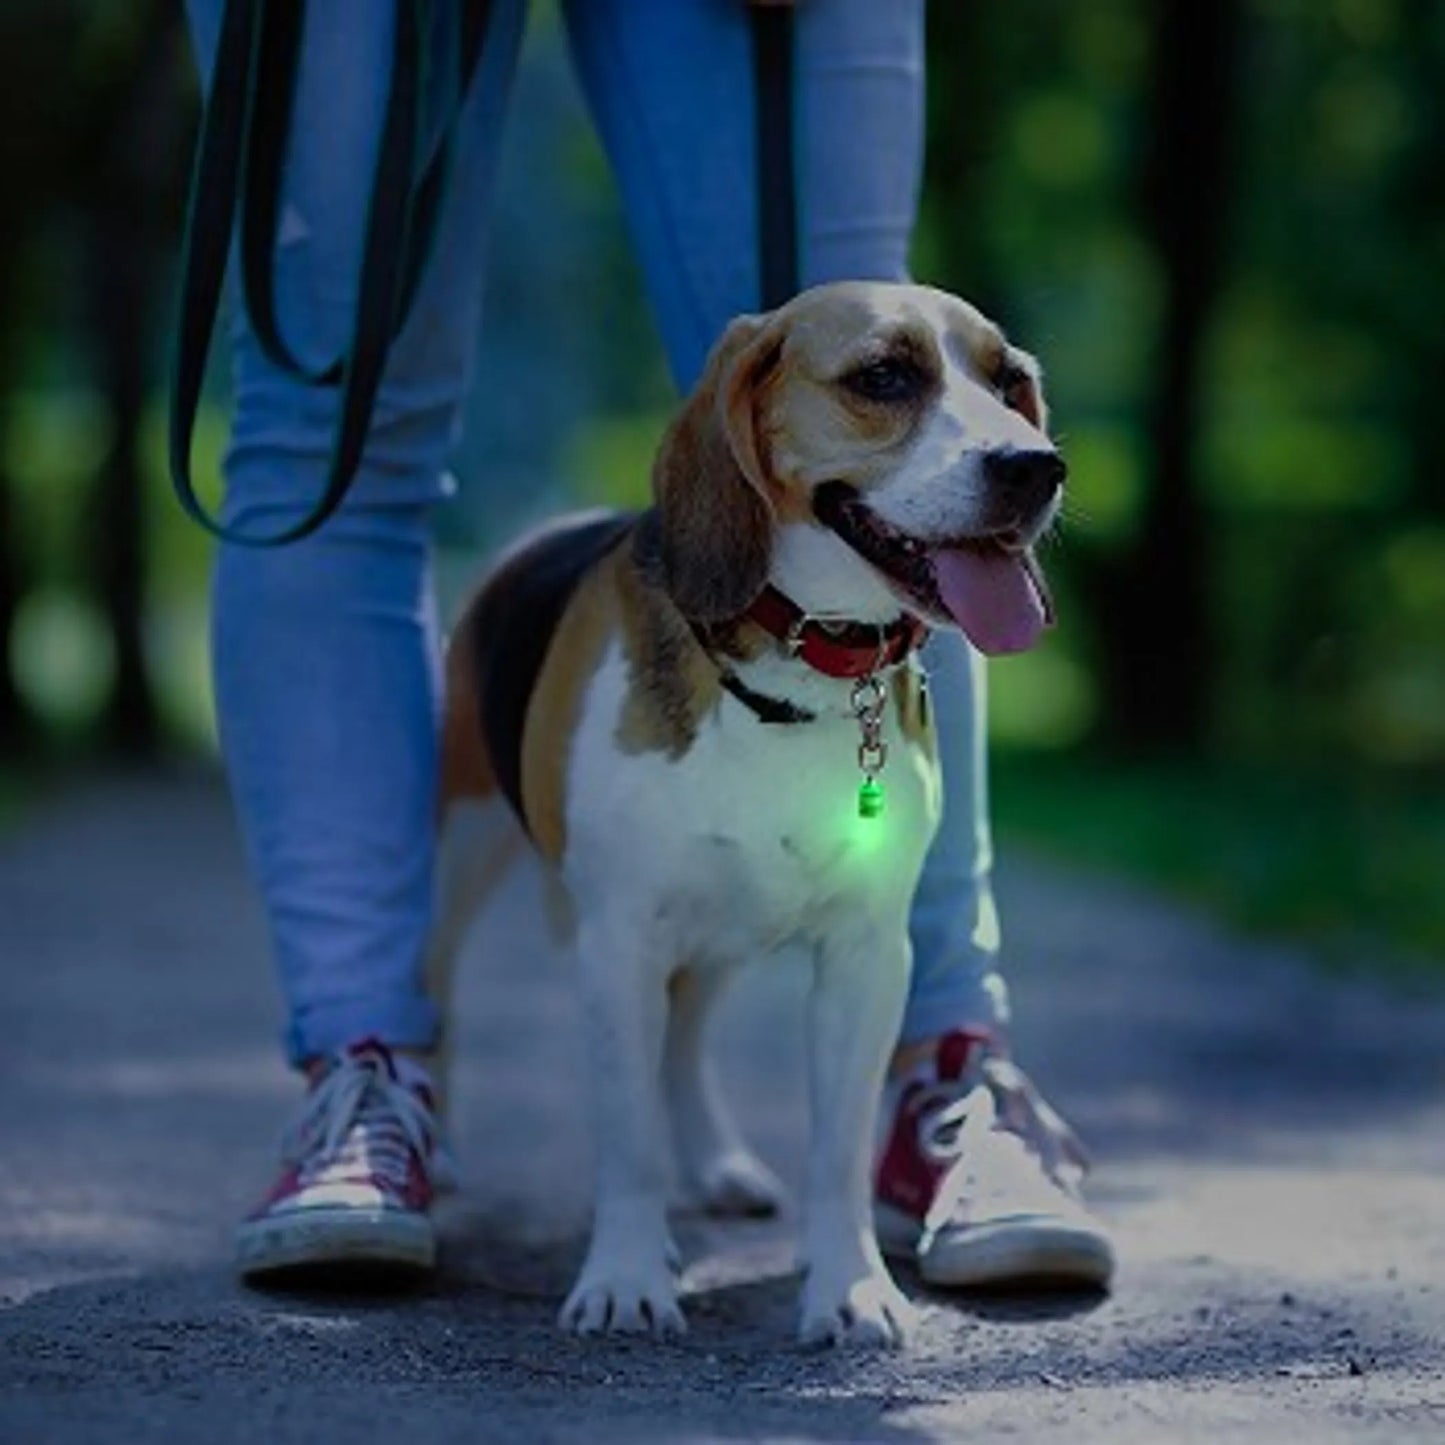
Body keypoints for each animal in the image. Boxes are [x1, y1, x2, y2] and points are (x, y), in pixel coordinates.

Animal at [427, 278, 1063, 1340]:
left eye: (1009, 382)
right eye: (883, 377)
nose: (1035, 467)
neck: (798, 666)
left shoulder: (865, 953)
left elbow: (837, 1148)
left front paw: (849, 1285)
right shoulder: (618, 943)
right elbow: (627, 1138)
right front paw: (626, 1276)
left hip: (722, 930)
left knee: (684, 1041)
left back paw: (717, 1166)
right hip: (453, 854)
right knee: (433, 996)